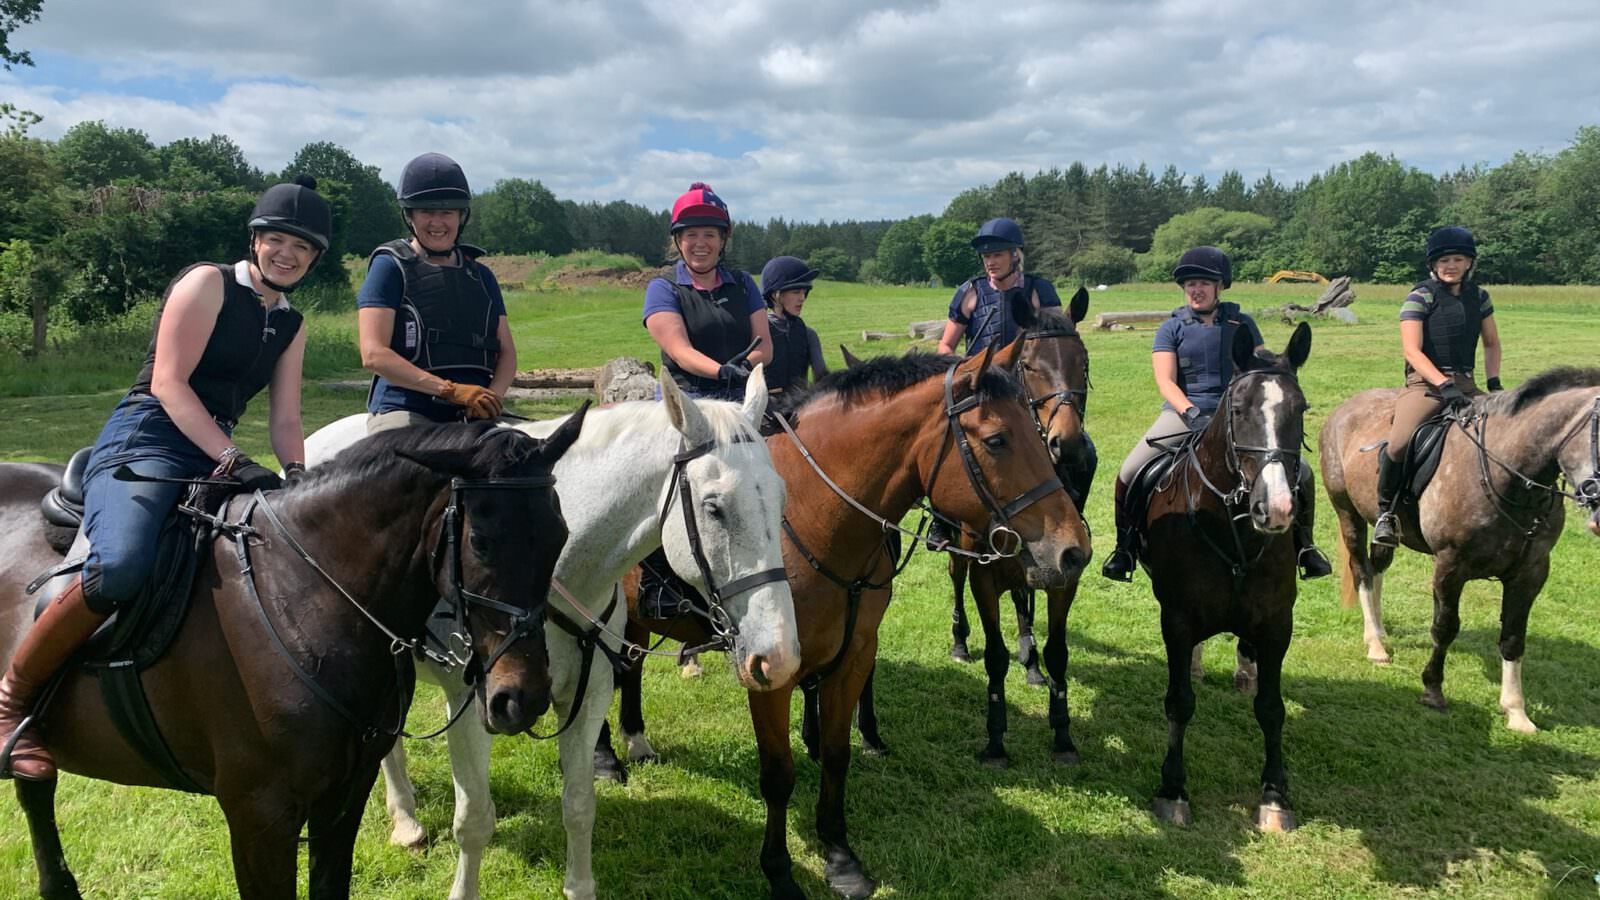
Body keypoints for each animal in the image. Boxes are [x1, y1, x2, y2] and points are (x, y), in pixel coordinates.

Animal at [0, 416, 588, 896]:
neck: (303, 593)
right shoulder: (258, 817)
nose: (524, 698)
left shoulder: (342, 801)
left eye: (559, 535)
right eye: (482, 541)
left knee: (36, 790)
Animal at [300, 368, 800, 896]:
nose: (779, 656)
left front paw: (579, 886)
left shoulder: (589, 696)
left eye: (782, 497)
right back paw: (406, 821)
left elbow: (579, 806)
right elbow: (474, 819)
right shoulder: (470, 707)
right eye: (714, 507)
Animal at [598, 339, 1088, 890]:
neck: (811, 519)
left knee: (630, 667)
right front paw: (779, 870)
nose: (1074, 550)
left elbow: (837, 754)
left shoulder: (853, 655)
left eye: (1034, 429)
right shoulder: (768, 673)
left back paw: (636, 739)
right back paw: (605, 758)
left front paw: (840, 855)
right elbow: (778, 774)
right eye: (998, 440)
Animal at [1312, 365, 1600, 730]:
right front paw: (1432, 691)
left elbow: (1513, 638)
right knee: (1361, 570)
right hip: (1347, 511)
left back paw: (1379, 629)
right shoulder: (1450, 566)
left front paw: (1516, 712)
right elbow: (1445, 627)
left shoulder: (1531, 573)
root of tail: (1344, 408)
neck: (1510, 475)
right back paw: (1375, 644)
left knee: (1377, 568)